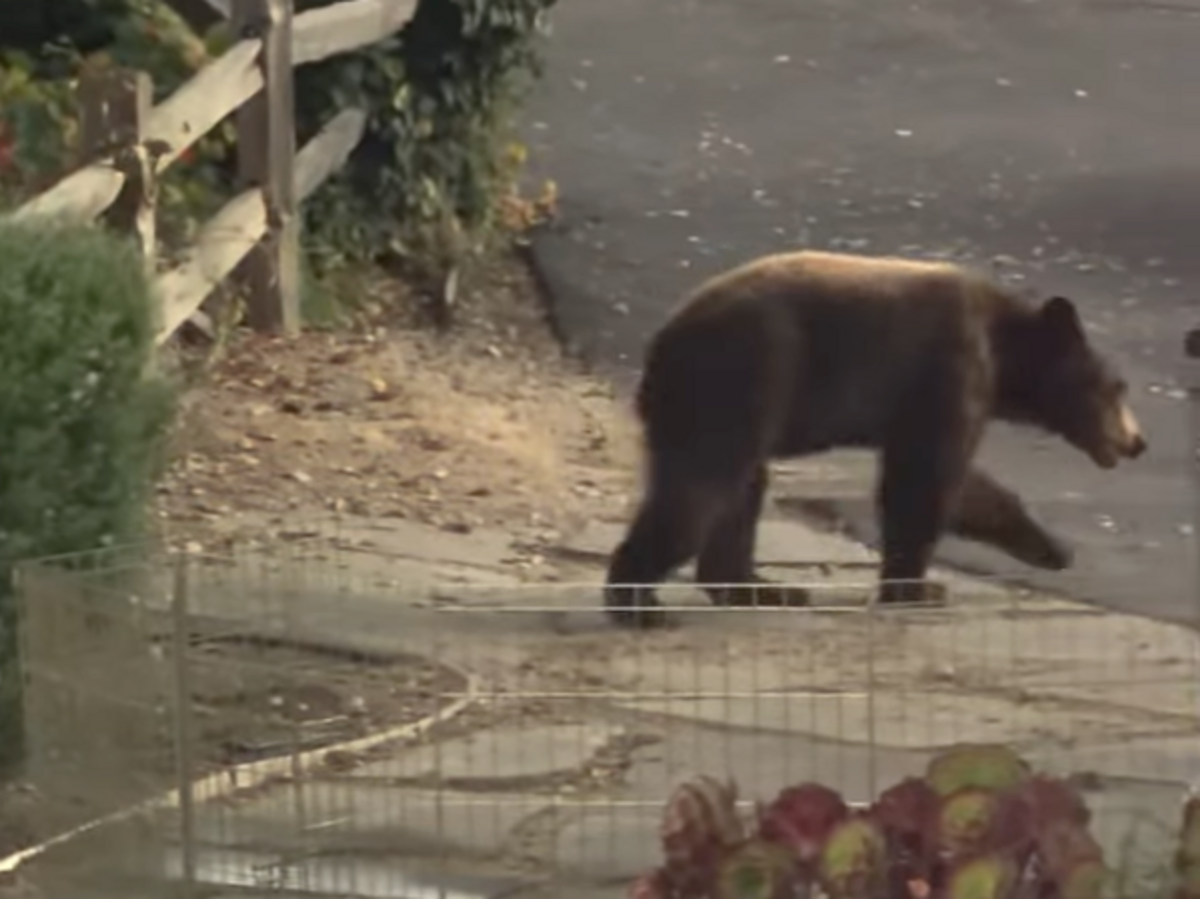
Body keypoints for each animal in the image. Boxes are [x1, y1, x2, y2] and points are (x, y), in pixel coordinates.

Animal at [604, 249, 1147, 629]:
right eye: (1116, 386)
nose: (1137, 442)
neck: (1002, 351)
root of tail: (659, 348)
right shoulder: (945, 371)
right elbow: (925, 481)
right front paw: (918, 590)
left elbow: (965, 484)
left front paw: (1052, 546)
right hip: (740, 380)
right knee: (701, 490)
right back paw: (640, 605)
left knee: (740, 494)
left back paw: (761, 587)